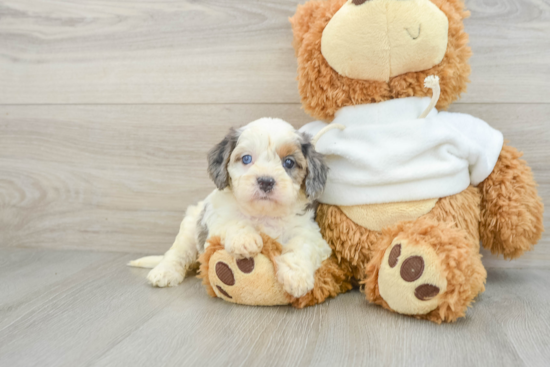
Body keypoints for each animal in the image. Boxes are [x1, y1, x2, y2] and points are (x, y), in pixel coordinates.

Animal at [132, 118, 332, 300]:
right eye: (246, 158)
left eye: (289, 163)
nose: (266, 181)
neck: (263, 214)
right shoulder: (217, 219)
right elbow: (232, 222)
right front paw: (245, 240)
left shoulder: (310, 233)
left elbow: (301, 245)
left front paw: (296, 277)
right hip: (190, 227)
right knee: (177, 252)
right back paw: (164, 272)